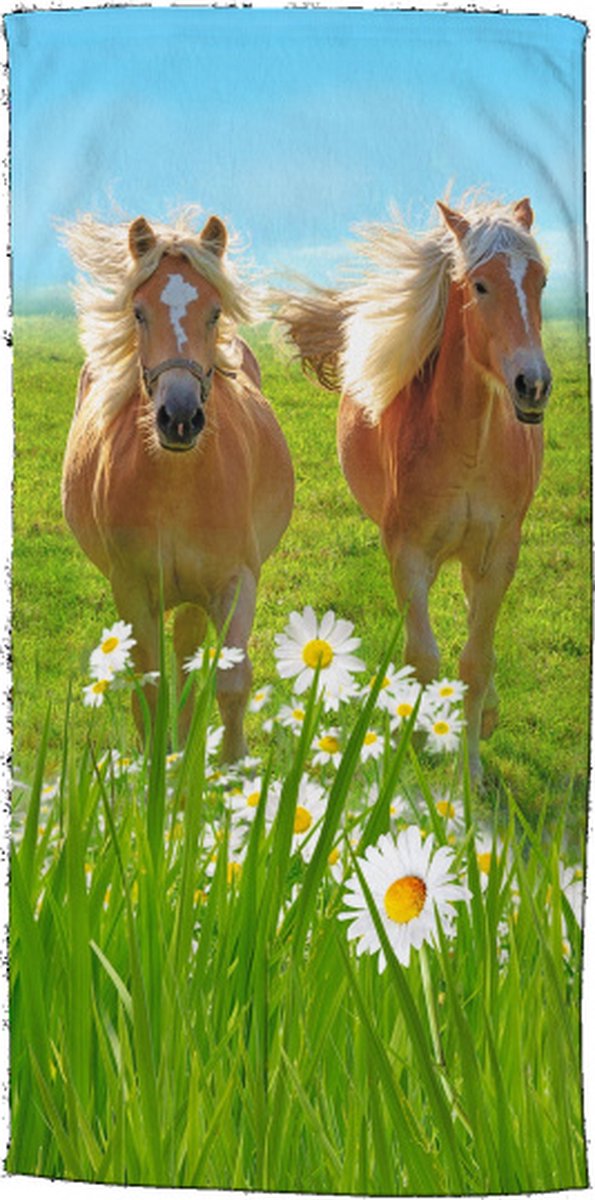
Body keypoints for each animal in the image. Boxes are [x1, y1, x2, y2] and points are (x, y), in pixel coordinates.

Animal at [61, 208, 294, 760]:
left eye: (213, 312)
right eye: (139, 312)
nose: (180, 417)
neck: (176, 485)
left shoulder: (236, 581)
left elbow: (232, 682)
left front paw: (234, 768)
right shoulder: (131, 588)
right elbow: (146, 685)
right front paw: (152, 769)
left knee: (188, 651)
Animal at [274, 195, 551, 782]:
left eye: (541, 280)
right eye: (480, 285)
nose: (533, 384)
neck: (468, 448)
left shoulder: (499, 554)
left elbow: (476, 659)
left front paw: (470, 771)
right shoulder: (408, 554)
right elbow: (423, 660)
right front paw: (415, 762)